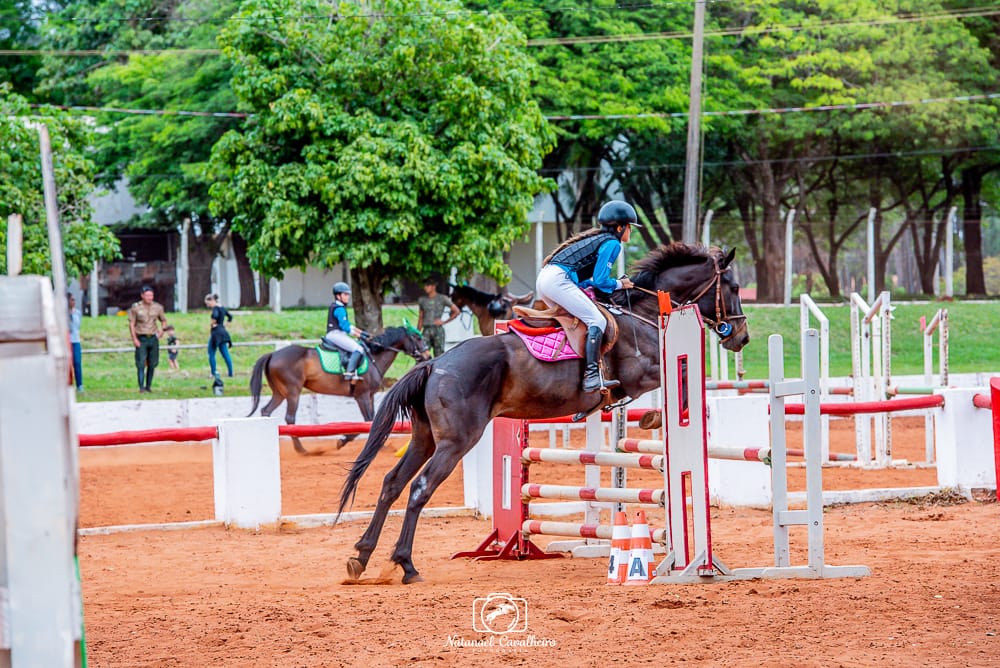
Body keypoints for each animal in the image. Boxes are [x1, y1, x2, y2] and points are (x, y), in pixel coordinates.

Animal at [248, 324, 428, 454]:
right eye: (416, 337)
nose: (427, 356)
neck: (374, 357)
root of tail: (273, 354)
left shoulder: (369, 395)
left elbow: (373, 419)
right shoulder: (361, 395)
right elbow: (368, 419)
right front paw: (343, 441)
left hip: (280, 393)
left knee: (266, 411)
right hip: (293, 392)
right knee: (290, 418)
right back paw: (301, 449)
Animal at [336, 243, 752, 580]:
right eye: (733, 288)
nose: (741, 337)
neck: (646, 311)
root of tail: (435, 363)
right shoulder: (642, 374)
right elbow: (677, 381)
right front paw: (656, 418)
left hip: (424, 438)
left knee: (392, 483)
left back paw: (361, 557)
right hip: (456, 441)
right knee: (420, 487)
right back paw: (405, 564)